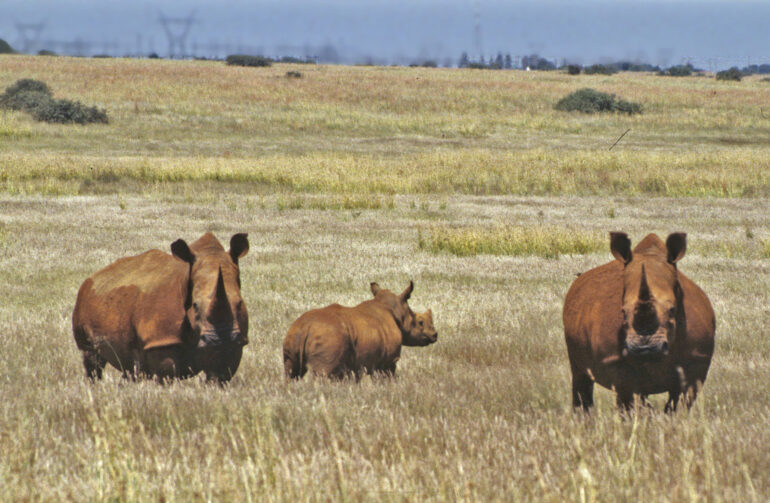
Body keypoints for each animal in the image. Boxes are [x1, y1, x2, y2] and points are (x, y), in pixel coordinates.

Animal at [72, 232, 249, 382]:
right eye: (195, 305)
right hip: (83, 300)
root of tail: (91, 278)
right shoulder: (161, 341)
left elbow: (219, 375)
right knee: (91, 360)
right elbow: (167, 375)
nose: (219, 340)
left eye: (240, 303)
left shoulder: (234, 344)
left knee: (130, 367)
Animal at [283, 281, 437, 379]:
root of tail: (304, 328)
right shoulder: (387, 362)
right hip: (328, 337)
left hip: (292, 335)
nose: (435, 335)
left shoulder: (355, 364)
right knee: (322, 375)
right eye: (420, 322)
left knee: (291, 374)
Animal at [563, 232, 715, 411]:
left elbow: (680, 403)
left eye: (672, 310)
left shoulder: (697, 361)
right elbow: (626, 401)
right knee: (580, 375)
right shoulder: (616, 362)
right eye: (622, 311)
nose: (645, 349)